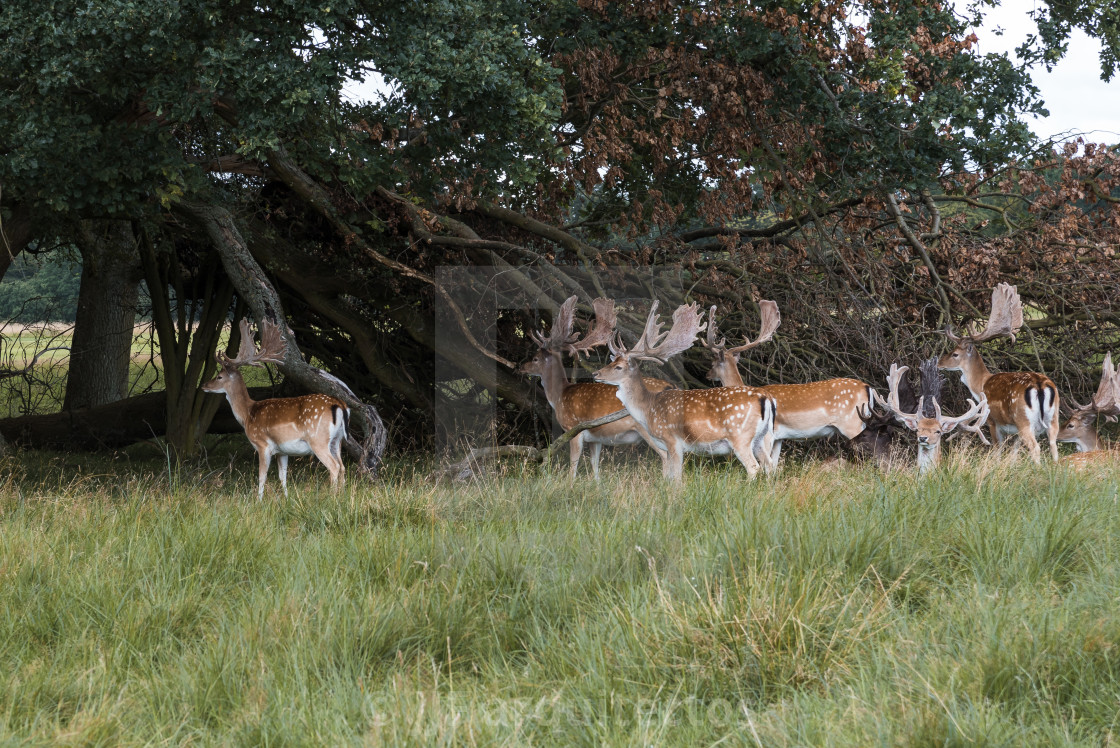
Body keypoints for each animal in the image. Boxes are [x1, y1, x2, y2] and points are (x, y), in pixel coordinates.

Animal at [201, 318, 347, 499]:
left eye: (219, 377)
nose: (204, 385)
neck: (248, 414)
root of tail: (339, 405)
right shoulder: (282, 451)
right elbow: (282, 476)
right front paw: (286, 498)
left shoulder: (263, 445)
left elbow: (261, 476)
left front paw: (258, 501)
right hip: (337, 440)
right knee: (342, 466)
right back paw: (341, 497)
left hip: (318, 439)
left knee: (334, 467)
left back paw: (331, 498)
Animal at [517, 295, 672, 477]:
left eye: (535, 358)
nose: (521, 366)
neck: (560, 395)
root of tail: (669, 386)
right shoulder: (595, 438)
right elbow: (595, 465)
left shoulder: (573, 428)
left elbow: (573, 465)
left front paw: (569, 482)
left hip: (648, 429)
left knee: (666, 456)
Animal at [591, 300, 775, 481]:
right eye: (612, 362)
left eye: (619, 367)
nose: (595, 374)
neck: (648, 409)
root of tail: (765, 398)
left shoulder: (673, 441)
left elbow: (677, 478)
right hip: (760, 438)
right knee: (770, 465)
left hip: (740, 436)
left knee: (754, 467)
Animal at [703, 297, 878, 461]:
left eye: (712, 363)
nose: (707, 374)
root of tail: (868, 387)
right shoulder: (779, 438)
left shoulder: (768, 434)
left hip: (852, 423)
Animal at [936, 284, 1057, 463]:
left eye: (955, 354)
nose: (939, 363)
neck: (981, 384)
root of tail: (1040, 386)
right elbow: (1013, 453)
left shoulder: (992, 420)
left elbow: (997, 450)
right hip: (1053, 418)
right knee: (1053, 445)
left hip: (1023, 420)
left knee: (1035, 447)